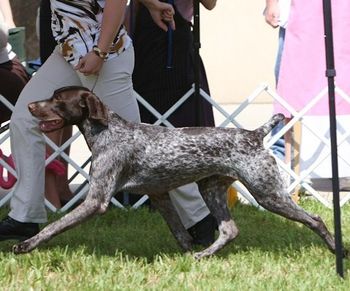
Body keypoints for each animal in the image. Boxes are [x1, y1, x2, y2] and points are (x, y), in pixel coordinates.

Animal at [13, 85, 340, 258]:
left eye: (58, 100)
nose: (29, 105)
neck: (107, 131)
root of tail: (254, 134)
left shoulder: (96, 201)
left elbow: (54, 226)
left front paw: (26, 245)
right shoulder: (159, 196)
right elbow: (180, 233)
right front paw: (182, 256)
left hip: (268, 193)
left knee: (316, 219)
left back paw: (339, 251)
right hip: (210, 189)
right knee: (229, 230)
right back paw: (202, 256)